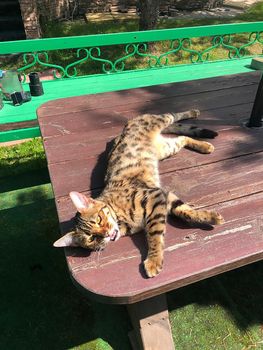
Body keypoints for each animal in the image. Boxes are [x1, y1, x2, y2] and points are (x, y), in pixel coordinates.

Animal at [54, 110, 225, 278]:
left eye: (98, 220)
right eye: (92, 238)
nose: (107, 234)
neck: (122, 221)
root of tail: (123, 130)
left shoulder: (155, 197)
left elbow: (156, 233)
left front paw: (154, 260)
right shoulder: (162, 195)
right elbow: (183, 209)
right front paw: (210, 217)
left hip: (159, 121)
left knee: (173, 116)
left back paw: (194, 113)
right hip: (167, 148)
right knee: (182, 138)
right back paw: (205, 146)